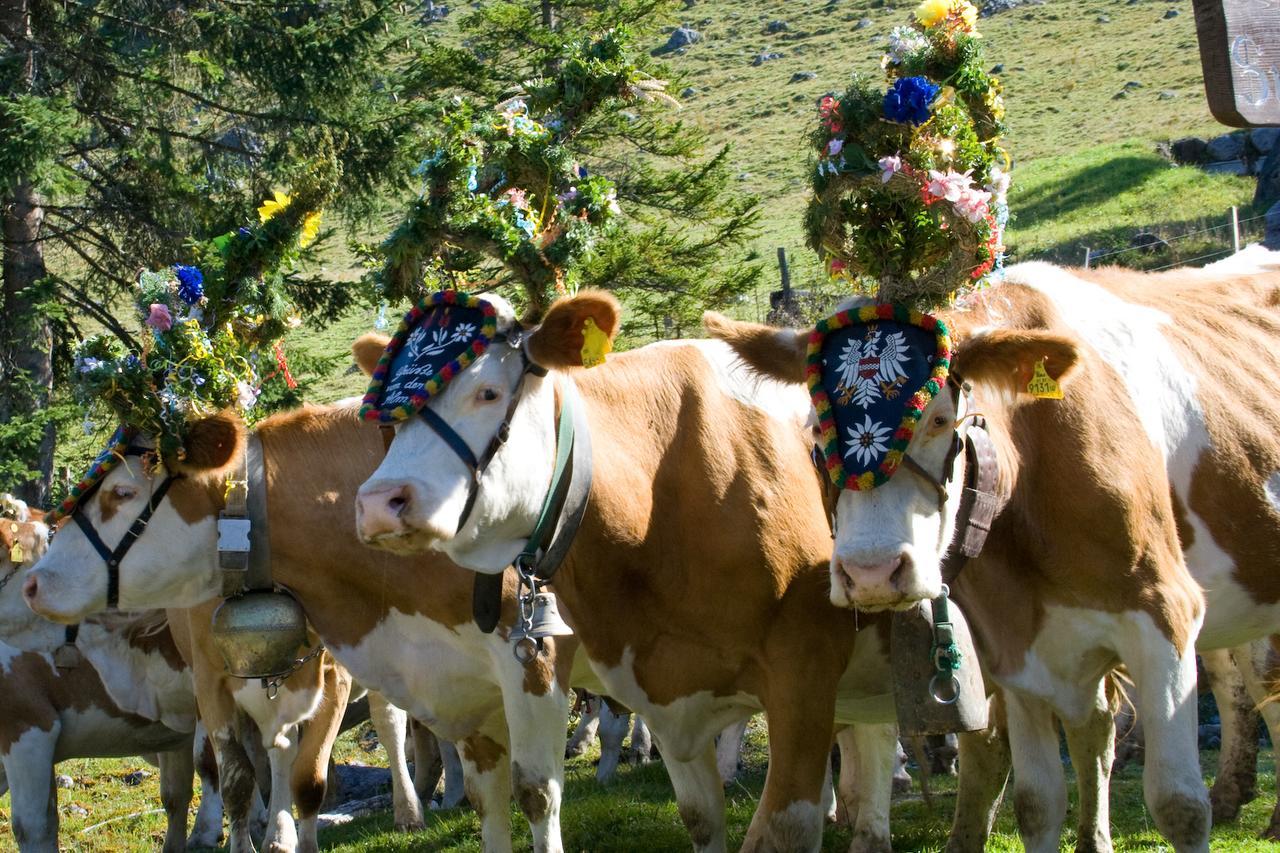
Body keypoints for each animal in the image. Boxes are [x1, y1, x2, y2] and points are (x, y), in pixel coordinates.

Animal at [345, 290, 1003, 850]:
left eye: (486, 393)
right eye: (391, 420)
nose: (377, 504)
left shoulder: (804, 673)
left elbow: (782, 827)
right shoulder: (661, 692)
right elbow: (700, 817)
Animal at [711, 261, 1280, 850]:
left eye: (940, 419)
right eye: (816, 426)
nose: (870, 573)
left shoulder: (1165, 615)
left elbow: (1178, 804)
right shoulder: (1017, 649)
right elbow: (1037, 802)